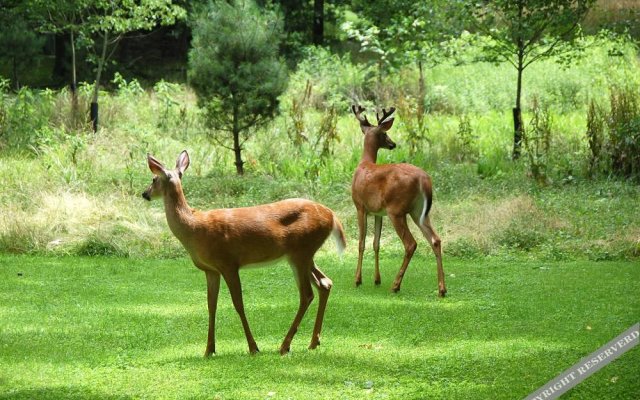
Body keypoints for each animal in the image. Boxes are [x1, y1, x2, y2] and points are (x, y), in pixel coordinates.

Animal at [143, 151, 348, 356]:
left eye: (154, 179)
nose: (145, 193)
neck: (193, 228)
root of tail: (332, 216)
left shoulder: (228, 263)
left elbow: (238, 303)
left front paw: (253, 347)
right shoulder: (211, 270)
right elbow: (211, 305)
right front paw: (209, 349)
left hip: (301, 251)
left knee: (307, 294)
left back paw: (285, 345)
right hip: (303, 255)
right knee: (325, 283)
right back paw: (313, 342)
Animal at [350, 105, 444, 296]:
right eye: (385, 134)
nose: (392, 144)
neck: (364, 164)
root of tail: (424, 179)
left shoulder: (360, 206)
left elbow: (361, 243)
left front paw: (358, 279)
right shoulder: (378, 212)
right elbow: (376, 243)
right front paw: (376, 279)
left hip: (397, 210)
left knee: (411, 244)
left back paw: (395, 285)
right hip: (419, 212)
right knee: (436, 240)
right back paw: (442, 289)